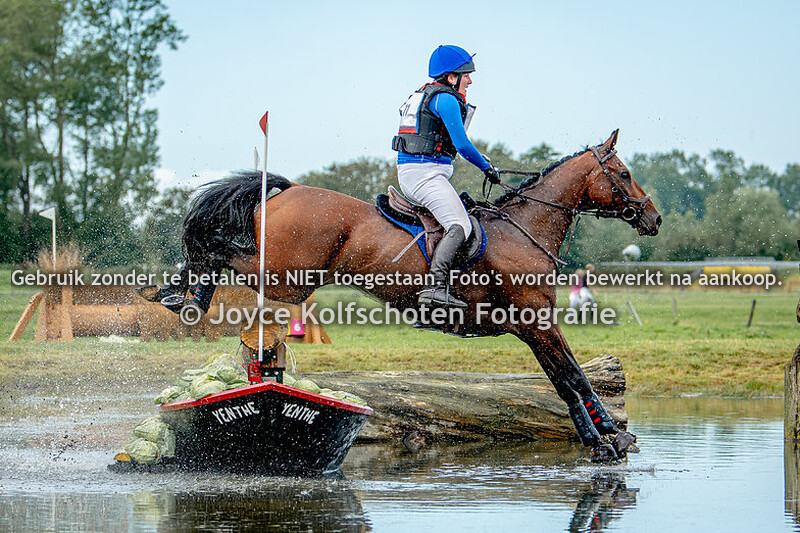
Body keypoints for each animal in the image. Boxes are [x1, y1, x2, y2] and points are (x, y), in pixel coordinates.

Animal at [155, 129, 661, 461]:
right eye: (623, 173)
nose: (653, 218)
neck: (524, 231)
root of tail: (287, 191)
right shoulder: (537, 322)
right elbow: (573, 376)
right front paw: (609, 439)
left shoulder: (531, 328)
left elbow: (562, 379)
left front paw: (603, 438)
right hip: (285, 276)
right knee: (216, 249)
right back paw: (186, 295)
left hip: (286, 277)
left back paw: (178, 294)